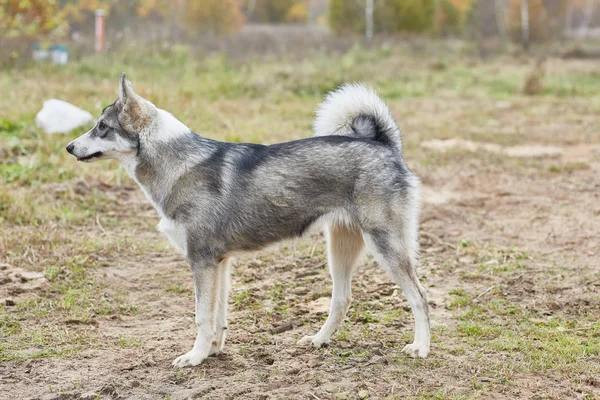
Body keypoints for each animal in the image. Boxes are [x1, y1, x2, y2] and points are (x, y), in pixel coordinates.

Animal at [67, 73, 432, 368]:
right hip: (340, 247)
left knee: (419, 297)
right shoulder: (219, 263)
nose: (69, 147)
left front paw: (194, 357)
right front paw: (212, 351)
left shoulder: (201, 261)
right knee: (342, 299)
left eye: (102, 128)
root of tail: (384, 144)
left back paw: (421, 348)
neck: (178, 163)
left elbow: (201, 316)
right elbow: (217, 316)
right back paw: (318, 341)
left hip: (385, 246)